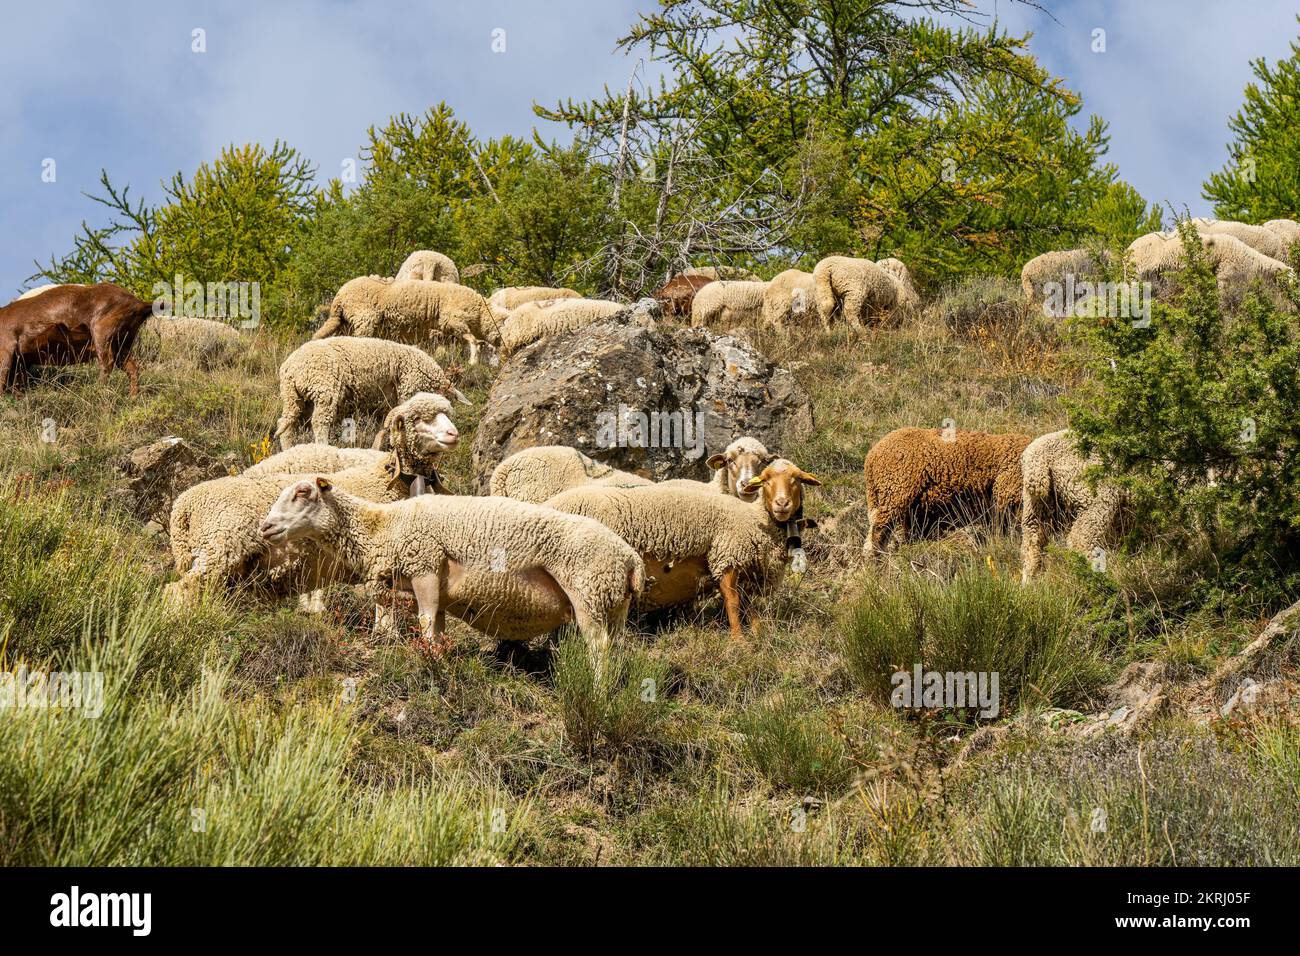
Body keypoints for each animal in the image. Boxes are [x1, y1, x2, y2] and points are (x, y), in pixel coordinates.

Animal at [257, 478, 646, 654]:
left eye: (303, 492)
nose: (266, 527)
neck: (382, 526)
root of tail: (631, 560)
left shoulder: (425, 565)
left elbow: (425, 621)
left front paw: (428, 657)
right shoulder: (430, 585)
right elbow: (433, 624)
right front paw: (436, 652)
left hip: (588, 593)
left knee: (599, 648)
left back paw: (595, 690)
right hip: (613, 605)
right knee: (616, 647)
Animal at [272, 337, 466, 451]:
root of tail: (290, 369)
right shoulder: (409, 389)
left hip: (295, 397)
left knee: (286, 423)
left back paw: (288, 450)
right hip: (324, 389)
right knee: (319, 422)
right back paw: (323, 448)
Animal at [313, 276, 499, 364]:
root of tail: (339, 297)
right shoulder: (453, 320)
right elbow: (471, 340)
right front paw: (473, 360)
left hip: (343, 323)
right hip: (363, 319)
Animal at [544, 458, 821, 637]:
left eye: (797, 480)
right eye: (765, 481)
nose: (782, 504)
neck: (754, 519)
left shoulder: (741, 567)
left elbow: (748, 606)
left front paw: (758, 633)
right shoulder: (725, 557)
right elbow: (732, 603)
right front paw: (738, 641)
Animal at [1020, 429, 1125, 583]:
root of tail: (1038, 457)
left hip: (1036, 504)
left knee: (1032, 541)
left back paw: (1029, 581)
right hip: (1094, 497)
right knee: (1080, 540)